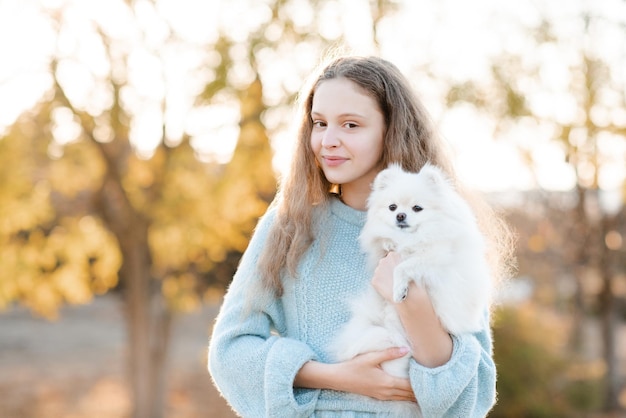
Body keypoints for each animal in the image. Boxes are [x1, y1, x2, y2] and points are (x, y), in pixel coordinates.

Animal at [330, 162, 490, 414]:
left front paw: (399, 289)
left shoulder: (435, 258)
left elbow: (404, 267)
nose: (400, 215)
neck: (411, 239)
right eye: (392, 207)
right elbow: (387, 244)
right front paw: (388, 242)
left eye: (417, 208)